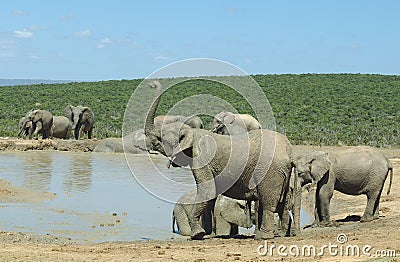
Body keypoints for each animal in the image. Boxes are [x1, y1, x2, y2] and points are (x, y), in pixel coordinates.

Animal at [143, 80, 296, 239]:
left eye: (161, 137)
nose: (152, 84)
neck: (193, 132)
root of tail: (290, 153)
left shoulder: (201, 157)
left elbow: (207, 190)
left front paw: (197, 235)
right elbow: (211, 196)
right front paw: (208, 235)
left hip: (270, 171)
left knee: (268, 203)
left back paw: (263, 236)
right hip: (282, 172)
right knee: (283, 203)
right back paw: (281, 235)